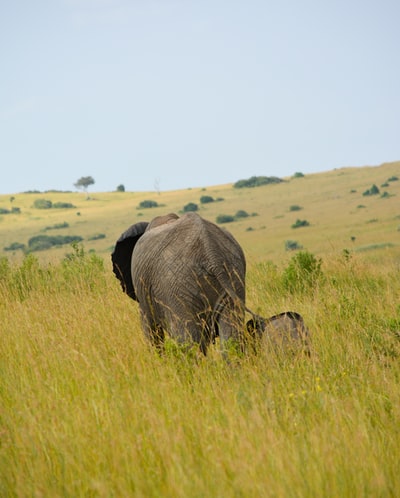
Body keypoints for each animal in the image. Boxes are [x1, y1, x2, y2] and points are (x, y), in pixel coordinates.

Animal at [111, 212, 247, 356]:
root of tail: (210, 252)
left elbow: (150, 330)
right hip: (233, 275)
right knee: (231, 337)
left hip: (177, 287)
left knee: (189, 342)